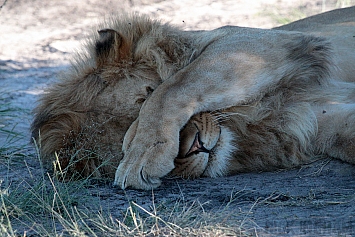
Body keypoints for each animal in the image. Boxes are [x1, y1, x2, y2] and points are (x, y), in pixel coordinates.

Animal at [31, 6, 355, 190]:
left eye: (146, 95)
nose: (195, 145)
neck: (251, 120)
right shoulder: (316, 117)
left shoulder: (258, 42)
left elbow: (176, 86)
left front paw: (142, 155)